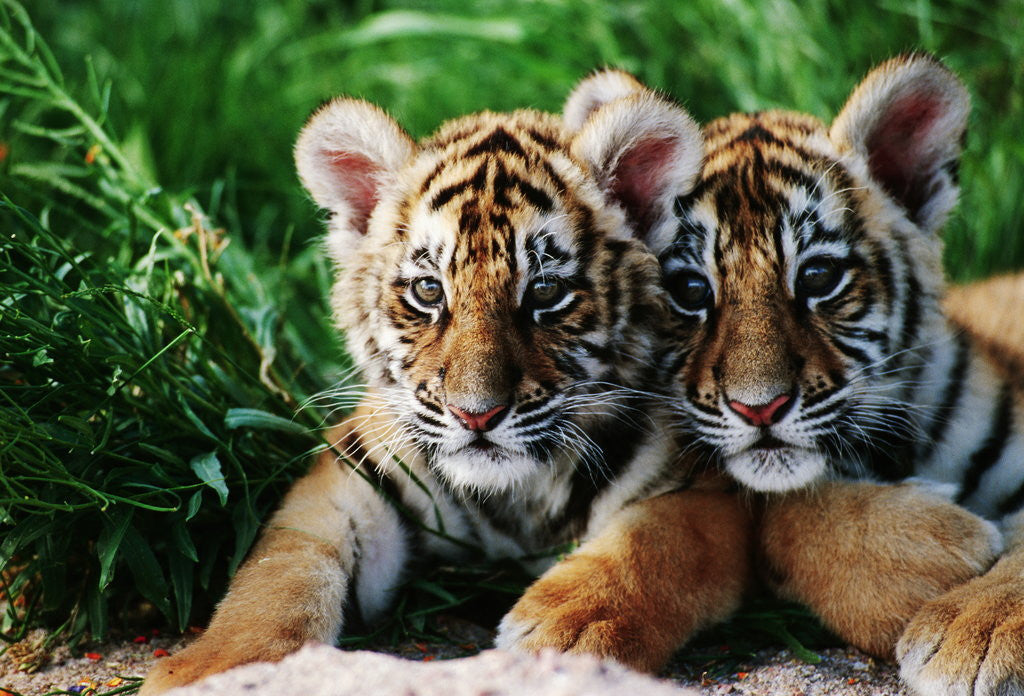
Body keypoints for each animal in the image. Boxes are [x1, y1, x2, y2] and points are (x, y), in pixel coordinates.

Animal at [507, 56, 1023, 696]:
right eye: (689, 289)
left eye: (820, 276)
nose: (760, 409)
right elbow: (687, 529)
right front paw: (563, 628)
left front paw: (979, 634)